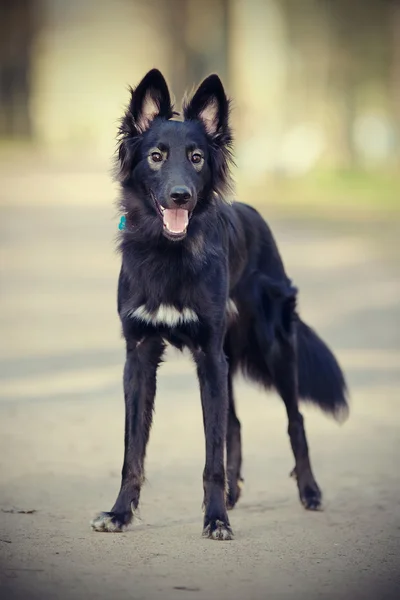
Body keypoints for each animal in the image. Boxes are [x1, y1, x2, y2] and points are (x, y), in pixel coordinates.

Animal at [90, 69, 346, 540]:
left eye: (196, 158)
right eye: (155, 156)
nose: (180, 196)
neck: (168, 251)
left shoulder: (209, 355)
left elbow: (212, 453)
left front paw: (215, 519)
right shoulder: (140, 355)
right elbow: (133, 450)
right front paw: (119, 513)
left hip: (274, 348)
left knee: (295, 420)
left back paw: (309, 491)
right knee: (236, 423)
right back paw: (233, 492)